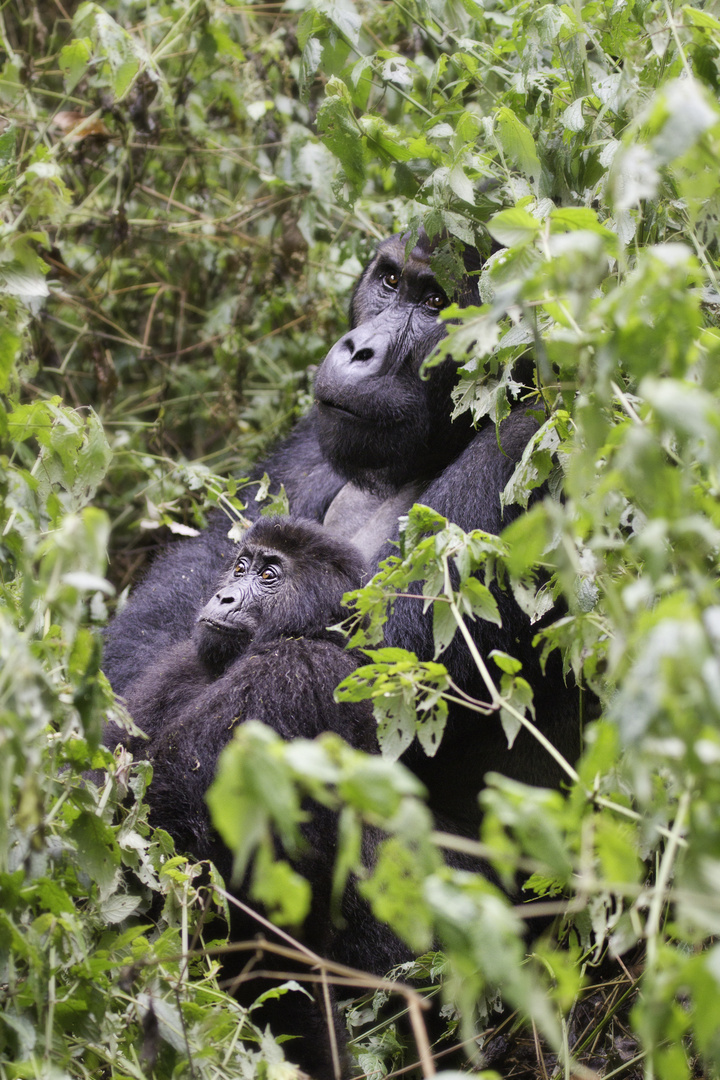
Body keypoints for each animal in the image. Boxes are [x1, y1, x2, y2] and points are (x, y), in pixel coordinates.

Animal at [105, 227, 578, 833]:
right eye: (390, 280)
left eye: (435, 303)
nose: (358, 350)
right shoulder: (320, 428)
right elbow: (194, 583)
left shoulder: (536, 443)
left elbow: (369, 659)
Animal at [106, 518, 405, 1075]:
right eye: (240, 566)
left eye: (269, 576)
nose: (222, 595)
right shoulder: (184, 659)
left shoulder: (298, 669)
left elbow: (171, 833)